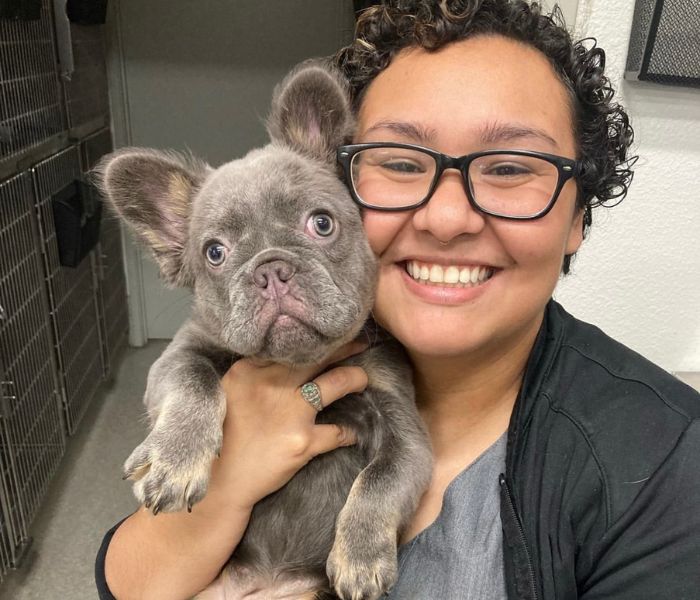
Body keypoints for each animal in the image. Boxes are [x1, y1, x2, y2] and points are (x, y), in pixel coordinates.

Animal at [95, 61, 430, 600]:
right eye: (215, 253)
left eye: (321, 223)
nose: (271, 269)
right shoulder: (179, 355)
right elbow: (193, 382)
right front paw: (175, 458)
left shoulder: (404, 428)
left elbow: (383, 477)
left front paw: (360, 558)